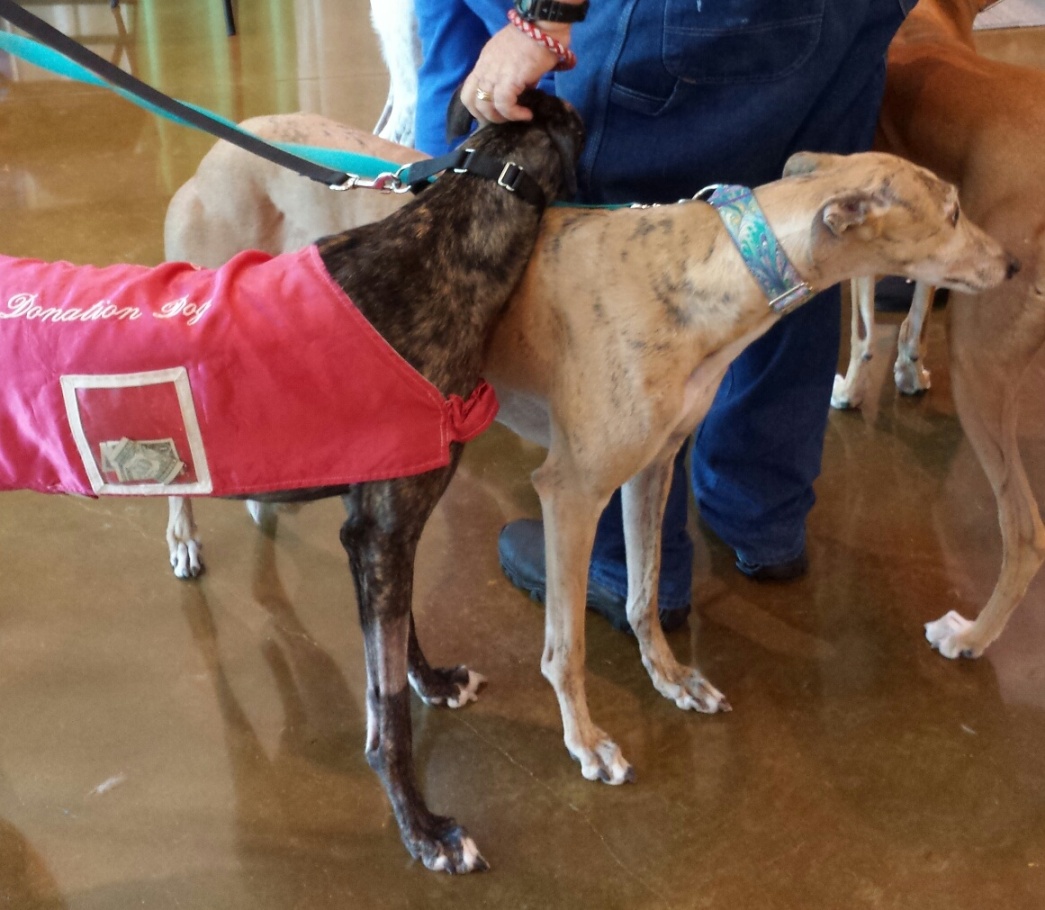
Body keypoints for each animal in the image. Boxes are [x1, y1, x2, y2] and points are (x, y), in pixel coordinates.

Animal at [3, 90, 584, 874]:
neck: (441, 246)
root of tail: (212, 159)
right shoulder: (382, 533)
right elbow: (386, 712)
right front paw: (422, 829)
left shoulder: (377, 529)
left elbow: (403, 636)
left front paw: (432, 681)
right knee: (180, 487)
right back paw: (184, 541)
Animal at [164, 111, 1016, 787]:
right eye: (952, 210)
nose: (1012, 265)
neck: (709, 269)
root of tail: (228, 145)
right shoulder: (571, 492)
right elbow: (564, 645)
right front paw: (587, 742)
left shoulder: (652, 467)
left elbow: (642, 593)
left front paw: (671, 678)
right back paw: (185, 542)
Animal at [828, 0, 1045, 660]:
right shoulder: (942, 239)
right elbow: (921, 301)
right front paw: (908, 366)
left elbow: (864, 330)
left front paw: (851, 389)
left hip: (978, 363)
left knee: (1025, 532)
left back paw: (972, 635)